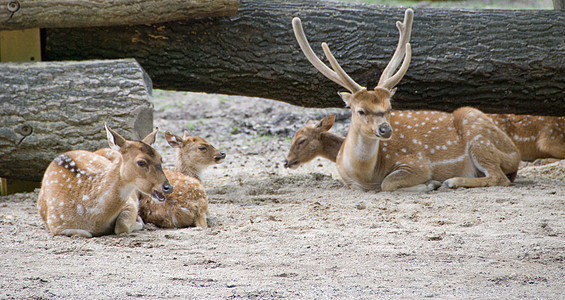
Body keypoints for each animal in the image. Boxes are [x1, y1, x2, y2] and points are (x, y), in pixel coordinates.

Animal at [36, 124, 172, 237]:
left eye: (161, 158)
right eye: (141, 162)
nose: (168, 187)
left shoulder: (130, 203)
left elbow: (121, 226)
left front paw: (138, 221)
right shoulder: (55, 224)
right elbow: (86, 233)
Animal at [296, 10, 520, 192]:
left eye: (389, 107)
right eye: (360, 110)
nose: (385, 130)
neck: (365, 175)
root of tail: (515, 153)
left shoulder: (417, 163)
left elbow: (388, 183)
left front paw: (431, 183)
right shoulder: (348, 181)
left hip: (477, 134)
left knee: (499, 177)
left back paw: (452, 181)